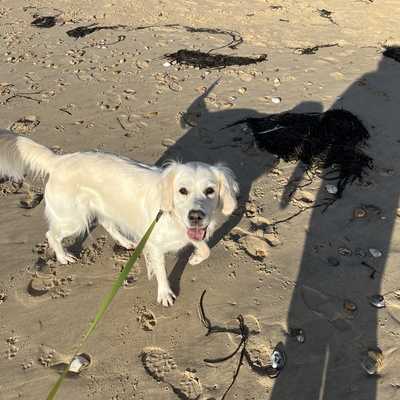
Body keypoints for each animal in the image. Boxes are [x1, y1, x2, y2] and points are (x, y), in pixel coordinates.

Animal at [0, 130, 238, 304]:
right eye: (182, 191)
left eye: (210, 190)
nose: (196, 216)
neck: (175, 217)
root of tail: (59, 161)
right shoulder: (155, 245)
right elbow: (161, 271)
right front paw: (164, 294)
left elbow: (205, 247)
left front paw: (196, 257)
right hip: (73, 218)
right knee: (52, 233)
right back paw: (63, 256)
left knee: (106, 223)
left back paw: (126, 242)